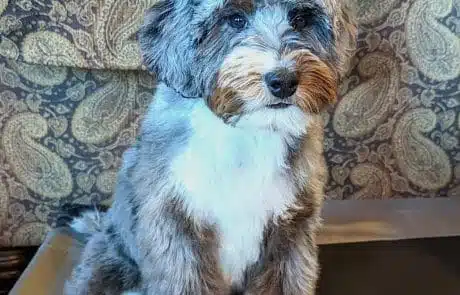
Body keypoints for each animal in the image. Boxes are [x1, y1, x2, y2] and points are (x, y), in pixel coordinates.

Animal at [63, 1, 356, 294]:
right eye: (235, 19)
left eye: (301, 19)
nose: (283, 81)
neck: (248, 135)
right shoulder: (176, 230)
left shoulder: (292, 231)